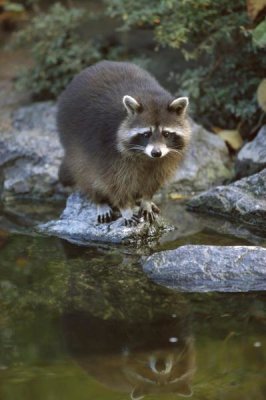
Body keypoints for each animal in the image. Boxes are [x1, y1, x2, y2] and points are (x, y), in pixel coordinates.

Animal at [57, 61, 191, 225]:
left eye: (166, 134)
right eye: (146, 134)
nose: (156, 153)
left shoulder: (167, 156)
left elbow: (155, 178)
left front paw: (146, 199)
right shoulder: (107, 148)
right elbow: (115, 181)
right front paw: (125, 207)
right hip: (73, 141)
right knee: (86, 172)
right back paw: (100, 200)